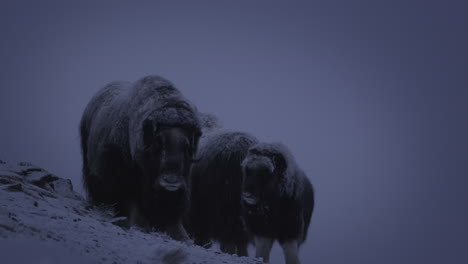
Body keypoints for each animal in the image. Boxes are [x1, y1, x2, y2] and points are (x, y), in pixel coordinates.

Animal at [80, 75, 201, 241]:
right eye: (157, 143)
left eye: (187, 147)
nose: (171, 185)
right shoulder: (124, 178)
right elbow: (132, 202)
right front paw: (139, 226)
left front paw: (183, 237)